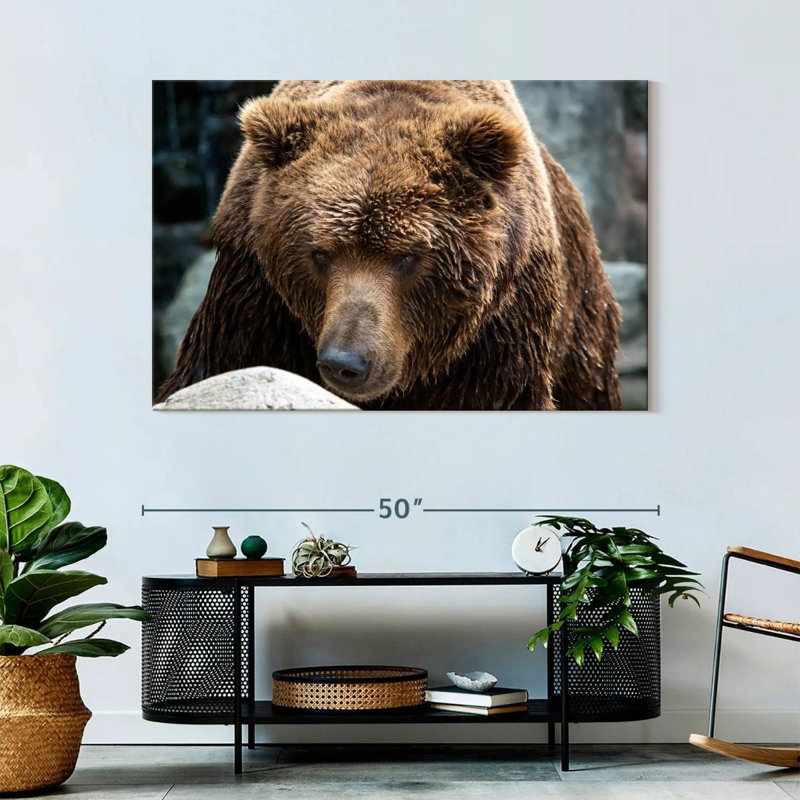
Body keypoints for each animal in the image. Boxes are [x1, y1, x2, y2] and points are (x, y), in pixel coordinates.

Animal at [157, 80, 621, 410]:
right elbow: (220, 367)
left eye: (408, 257)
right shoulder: (255, 292)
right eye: (319, 254)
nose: (346, 363)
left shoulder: (500, 325)